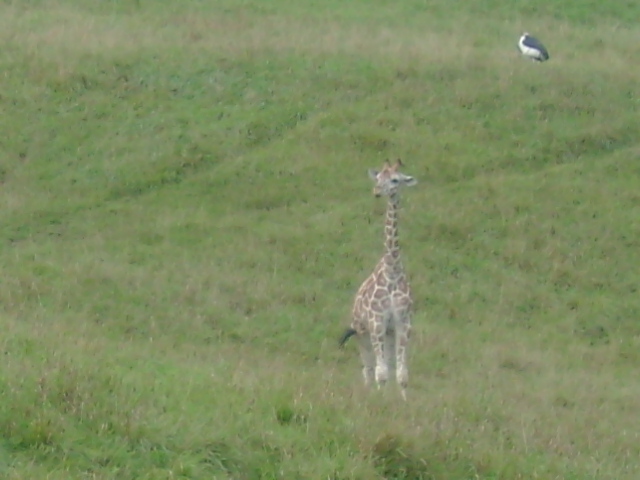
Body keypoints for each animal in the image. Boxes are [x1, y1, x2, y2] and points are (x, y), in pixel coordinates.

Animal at [339, 159, 417, 400]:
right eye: (378, 178)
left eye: (395, 180)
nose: (376, 191)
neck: (392, 271)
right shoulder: (376, 321)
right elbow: (380, 372)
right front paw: (380, 400)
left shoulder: (402, 323)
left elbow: (401, 372)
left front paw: (403, 401)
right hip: (362, 332)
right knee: (368, 366)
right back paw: (367, 392)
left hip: (387, 333)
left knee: (386, 365)